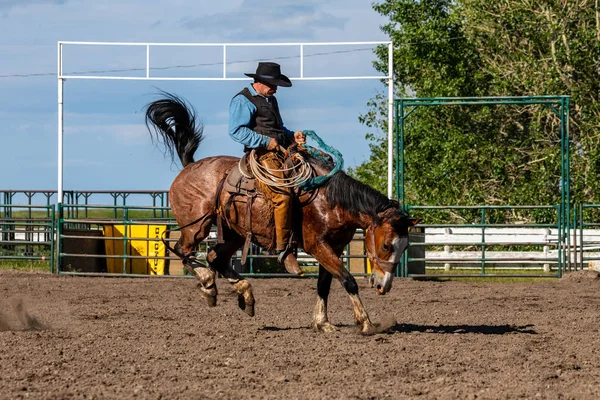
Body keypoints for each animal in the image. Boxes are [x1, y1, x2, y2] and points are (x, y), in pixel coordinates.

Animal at [145, 92, 418, 332]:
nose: (383, 286)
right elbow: (348, 280)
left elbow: (324, 284)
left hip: (233, 234)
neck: (329, 198)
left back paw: (244, 295)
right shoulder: (317, 245)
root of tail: (189, 166)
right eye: (386, 245)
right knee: (182, 250)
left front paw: (323, 323)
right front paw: (366, 324)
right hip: (196, 227)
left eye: (405, 246)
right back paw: (208, 284)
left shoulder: (335, 246)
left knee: (216, 258)